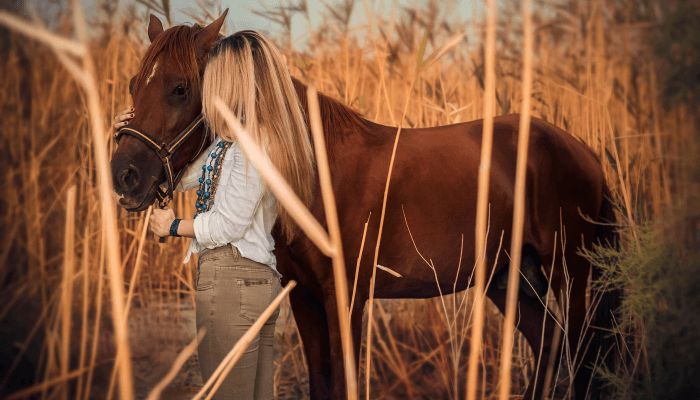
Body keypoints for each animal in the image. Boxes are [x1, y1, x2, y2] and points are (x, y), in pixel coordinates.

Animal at [112, 11, 620, 400]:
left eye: (180, 88)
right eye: (133, 83)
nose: (123, 174)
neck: (312, 169)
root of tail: (584, 150)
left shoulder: (346, 296)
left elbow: (345, 383)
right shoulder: (304, 297)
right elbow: (322, 383)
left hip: (572, 277)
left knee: (582, 358)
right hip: (510, 279)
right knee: (551, 346)